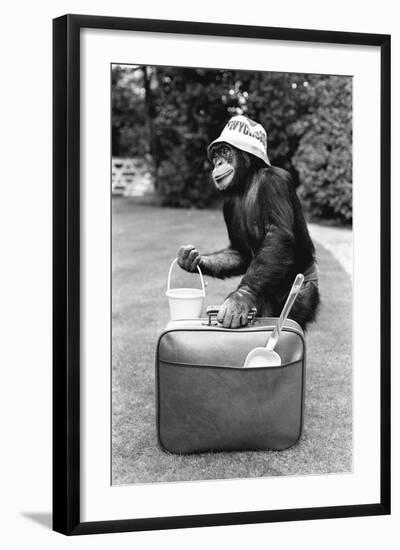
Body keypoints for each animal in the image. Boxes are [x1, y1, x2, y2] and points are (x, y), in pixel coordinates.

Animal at [177, 115, 320, 330]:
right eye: (216, 154)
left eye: (225, 151)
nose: (218, 162)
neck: (247, 181)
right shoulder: (227, 204)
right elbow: (240, 252)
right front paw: (193, 259)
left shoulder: (274, 182)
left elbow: (278, 235)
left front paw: (239, 300)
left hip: (303, 290)